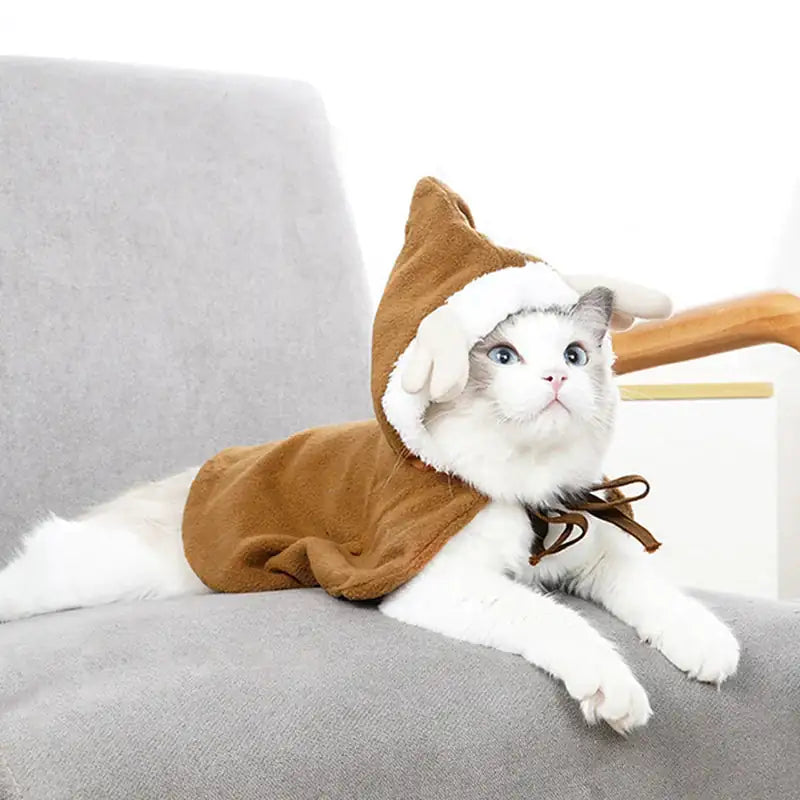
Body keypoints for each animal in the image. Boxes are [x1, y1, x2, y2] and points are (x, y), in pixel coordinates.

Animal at [0, 290, 736, 736]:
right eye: (503, 357)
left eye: (575, 356)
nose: (557, 379)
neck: (523, 493)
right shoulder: (434, 578)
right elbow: (552, 619)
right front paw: (613, 688)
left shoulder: (590, 546)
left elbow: (653, 590)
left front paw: (706, 643)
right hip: (109, 569)